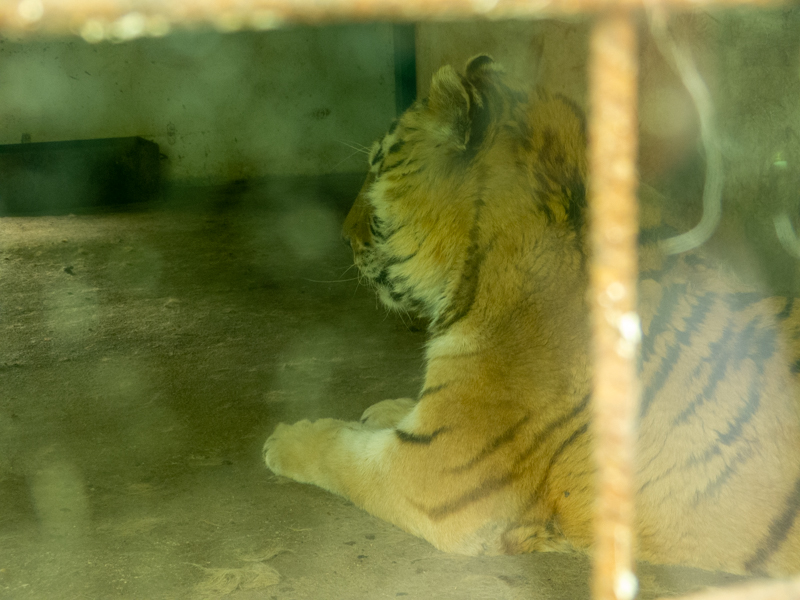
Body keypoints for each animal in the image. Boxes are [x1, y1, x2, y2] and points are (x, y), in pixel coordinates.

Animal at [263, 55, 800, 576]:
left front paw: (286, 438)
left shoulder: (432, 472)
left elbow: (340, 452)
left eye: (376, 167)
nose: (344, 237)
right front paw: (382, 410)